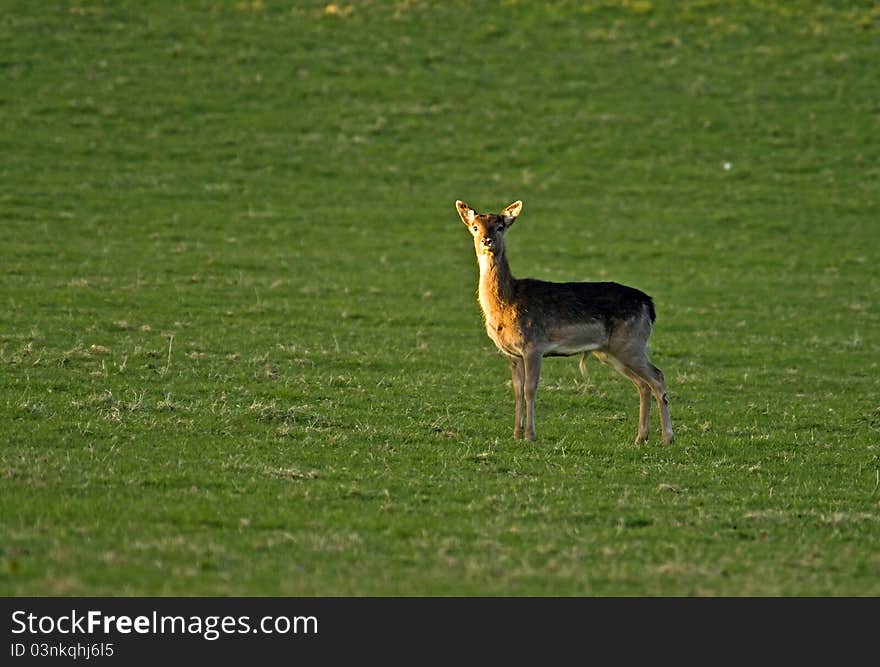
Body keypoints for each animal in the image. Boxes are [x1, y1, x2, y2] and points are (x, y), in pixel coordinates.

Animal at [454, 200, 672, 448]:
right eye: (475, 226)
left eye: (500, 226)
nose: (487, 240)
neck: (507, 303)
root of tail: (650, 306)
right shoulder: (512, 353)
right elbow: (517, 390)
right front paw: (516, 433)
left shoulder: (533, 345)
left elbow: (530, 389)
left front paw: (530, 435)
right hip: (612, 352)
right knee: (643, 385)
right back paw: (641, 437)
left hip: (631, 343)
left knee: (657, 377)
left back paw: (667, 438)